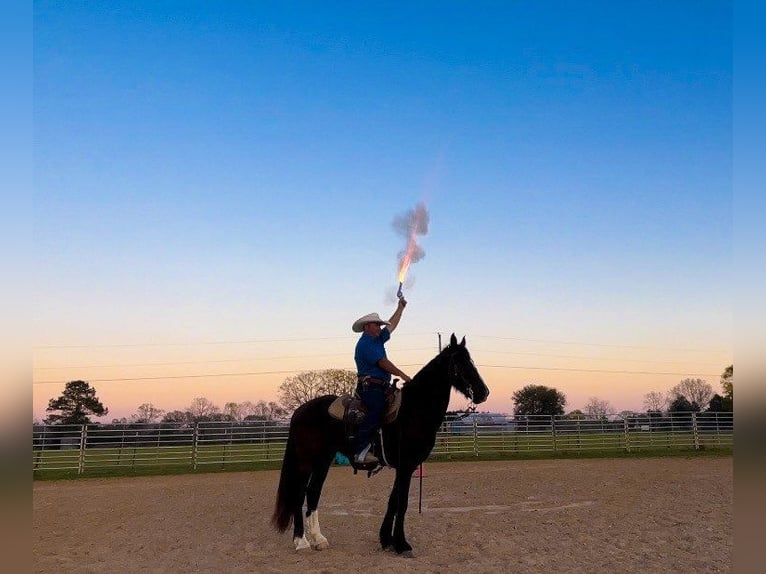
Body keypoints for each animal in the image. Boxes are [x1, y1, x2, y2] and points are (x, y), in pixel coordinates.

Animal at [272, 336, 488, 556]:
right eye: (461, 363)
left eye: (471, 361)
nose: (483, 392)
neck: (413, 411)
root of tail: (301, 411)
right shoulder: (406, 465)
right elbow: (402, 503)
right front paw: (401, 544)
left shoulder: (405, 467)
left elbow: (393, 501)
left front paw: (387, 540)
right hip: (305, 461)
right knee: (299, 495)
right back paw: (301, 541)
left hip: (323, 460)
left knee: (313, 492)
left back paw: (318, 539)